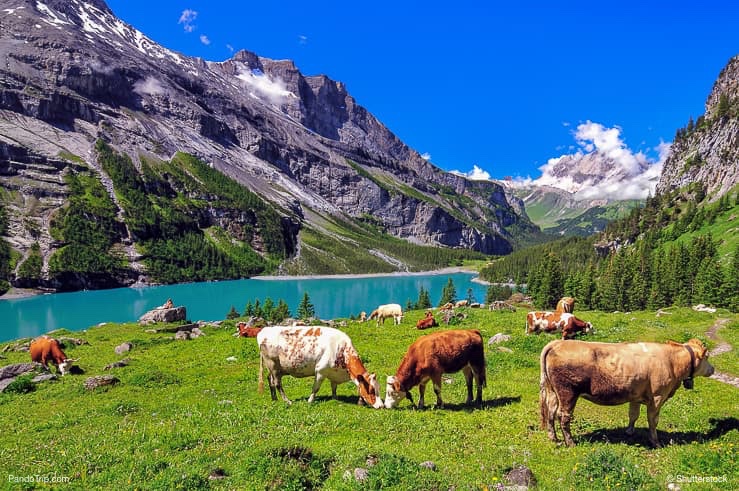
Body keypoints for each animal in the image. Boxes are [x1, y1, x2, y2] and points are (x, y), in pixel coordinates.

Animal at [536, 340, 716, 448]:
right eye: (707, 357)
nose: (713, 369)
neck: (671, 362)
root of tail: (558, 342)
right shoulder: (657, 397)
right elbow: (653, 421)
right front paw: (655, 442)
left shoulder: (635, 395)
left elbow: (633, 415)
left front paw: (629, 432)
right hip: (568, 392)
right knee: (563, 417)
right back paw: (570, 442)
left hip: (553, 392)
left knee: (550, 413)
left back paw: (554, 438)